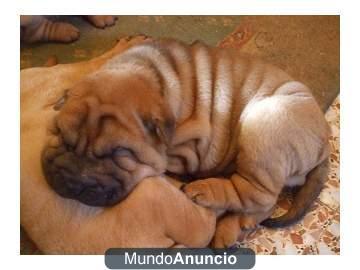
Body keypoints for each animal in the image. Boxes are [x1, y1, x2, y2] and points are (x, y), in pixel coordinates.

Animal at [40, 37, 330, 248]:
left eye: (118, 155)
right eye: (63, 138)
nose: (74, 182)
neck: (149, 77)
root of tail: (325, 144)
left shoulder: (190, 147)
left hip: (264, 127)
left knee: (256, 192)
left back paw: (205, 194)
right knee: (265, 201)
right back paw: (235, 226)